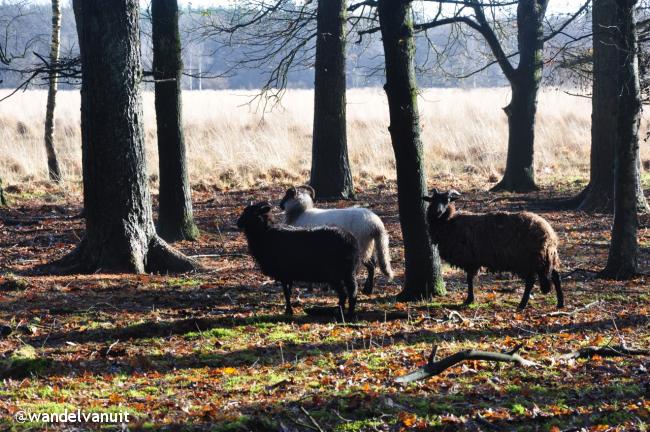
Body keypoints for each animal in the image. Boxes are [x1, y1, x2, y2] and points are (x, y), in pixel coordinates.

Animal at [420, 189, 560, 310]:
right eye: (433, 200)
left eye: (447, 200)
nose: (437, 211)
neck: (449, 223)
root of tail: (549, 235)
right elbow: (470, 279)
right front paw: (470, 299)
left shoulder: (470, 259)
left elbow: (469, 279)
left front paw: (469, 299)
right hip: (545, 257)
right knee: (555, 275)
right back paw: (560, 303)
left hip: (528, 258)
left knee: (531, 281)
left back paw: (522, 305)